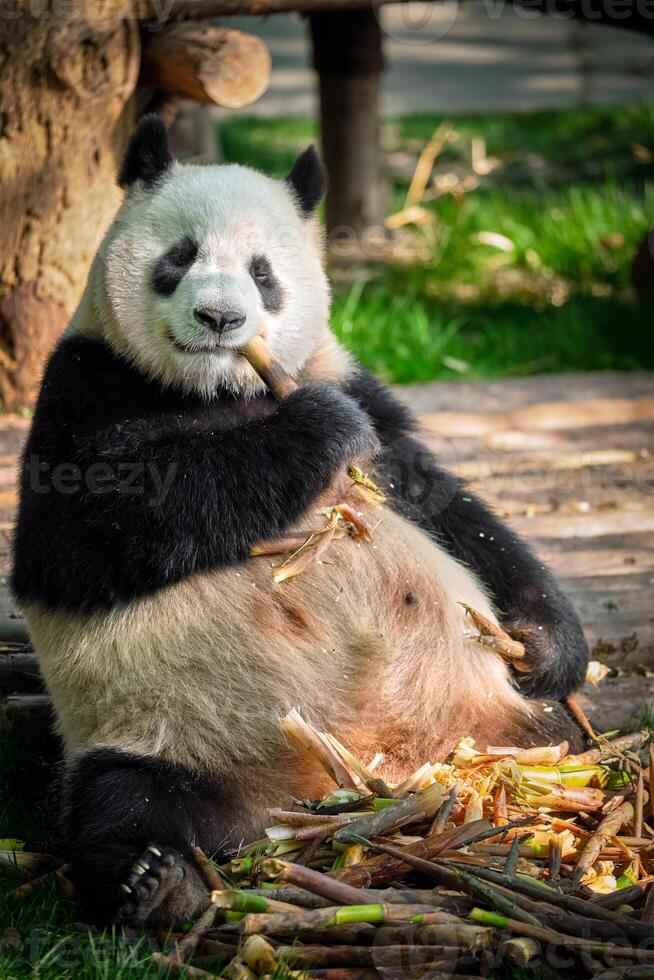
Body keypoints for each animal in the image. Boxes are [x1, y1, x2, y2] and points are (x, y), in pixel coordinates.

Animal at [12, 115, 592, 928]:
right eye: (180, 257)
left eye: (263, 273)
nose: (220, 318)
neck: (219, 391)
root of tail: (337, 791)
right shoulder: (84, 385)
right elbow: (84, 532)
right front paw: (315, 430)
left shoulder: (349, 379)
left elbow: (446, 505)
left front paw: (544, 644)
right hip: (159, 730)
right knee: (121, 799)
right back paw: (157, 881)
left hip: (501, 729)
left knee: (564, 739)